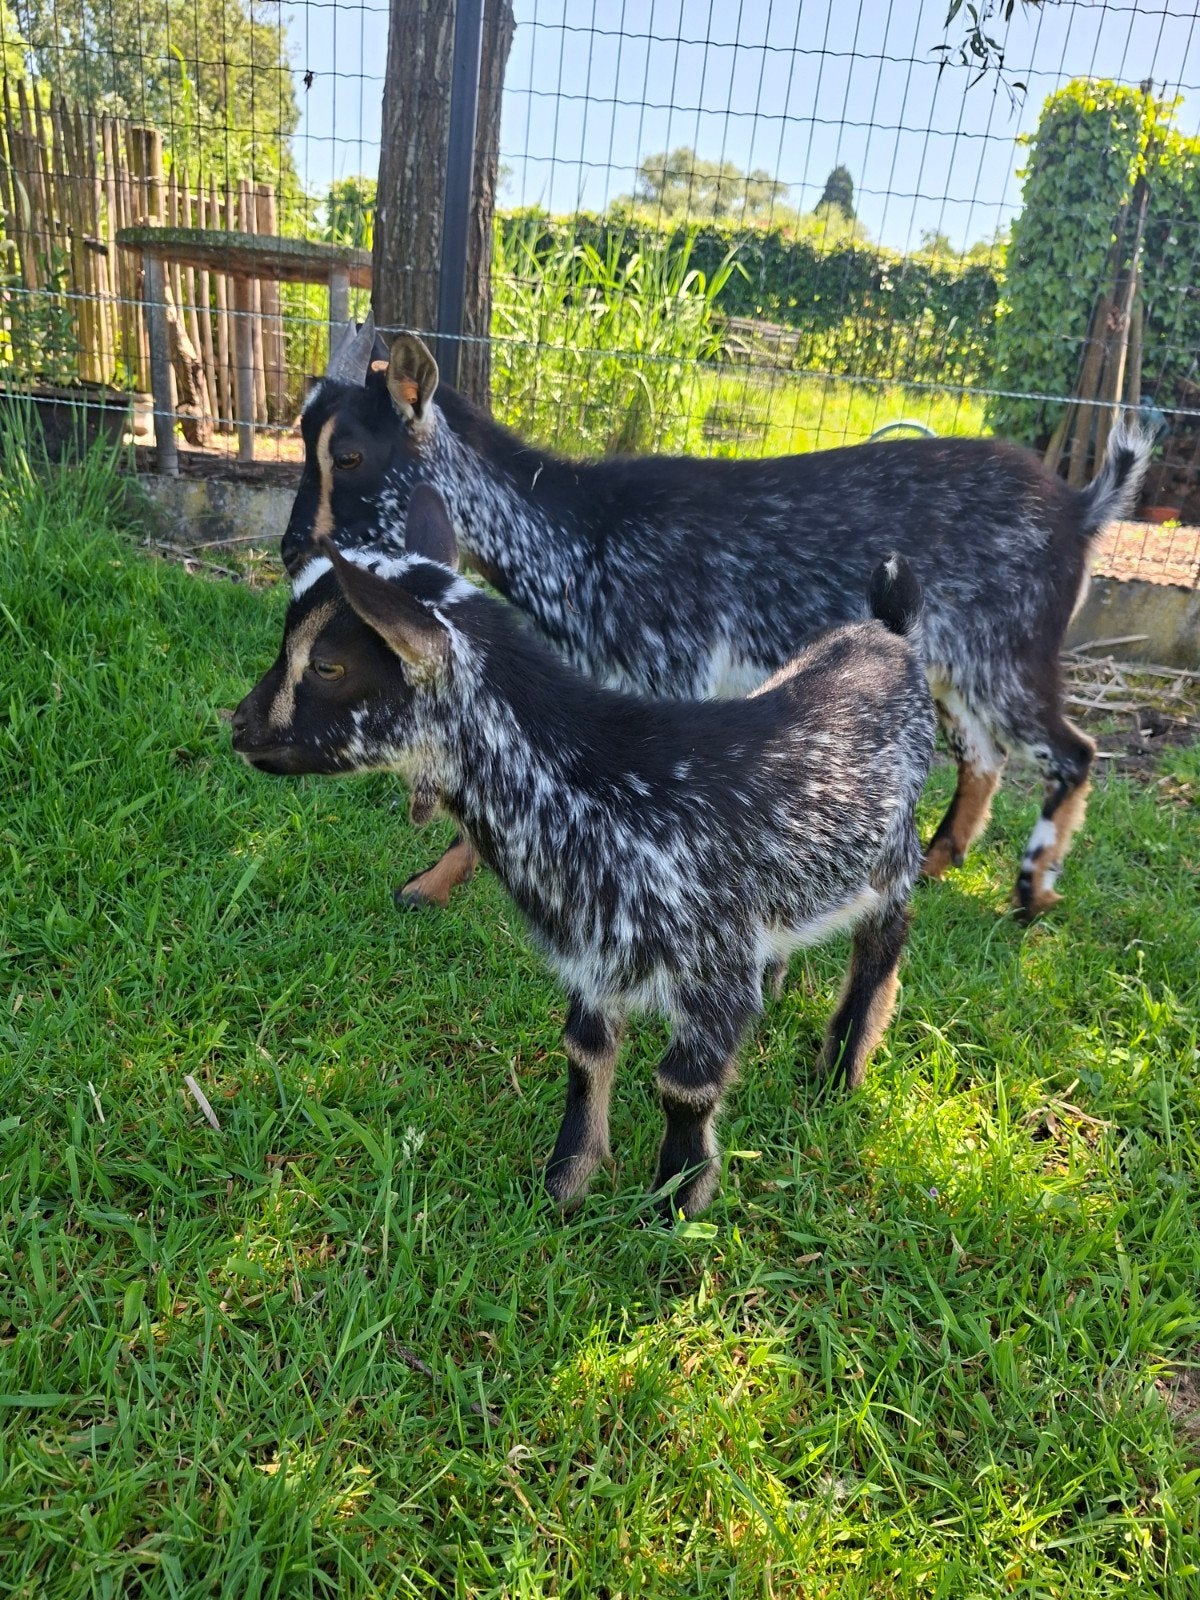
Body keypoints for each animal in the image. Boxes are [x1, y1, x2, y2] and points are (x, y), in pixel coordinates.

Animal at [233, 485, 936, 1217]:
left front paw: (676, 1202)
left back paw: (841, 1072)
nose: (240, 726)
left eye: (327, 665)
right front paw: (566, 1183)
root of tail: (890, 632)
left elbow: (684, 1087)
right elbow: (584, 1054)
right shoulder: (595, 954)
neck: (603, 788)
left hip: (894, 858)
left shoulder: (713, 965)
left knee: (881, 951)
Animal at [281, 324, 1152, 921]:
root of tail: (1080, 510)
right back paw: (940, 864)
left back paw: (1031, 893)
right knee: (984, 753)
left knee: (1074, 751)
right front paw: (431, 884)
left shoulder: (679, 676)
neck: (585, 535)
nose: (295, 548)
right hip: (948, 661)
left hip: (1009, 649)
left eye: (350, 456)